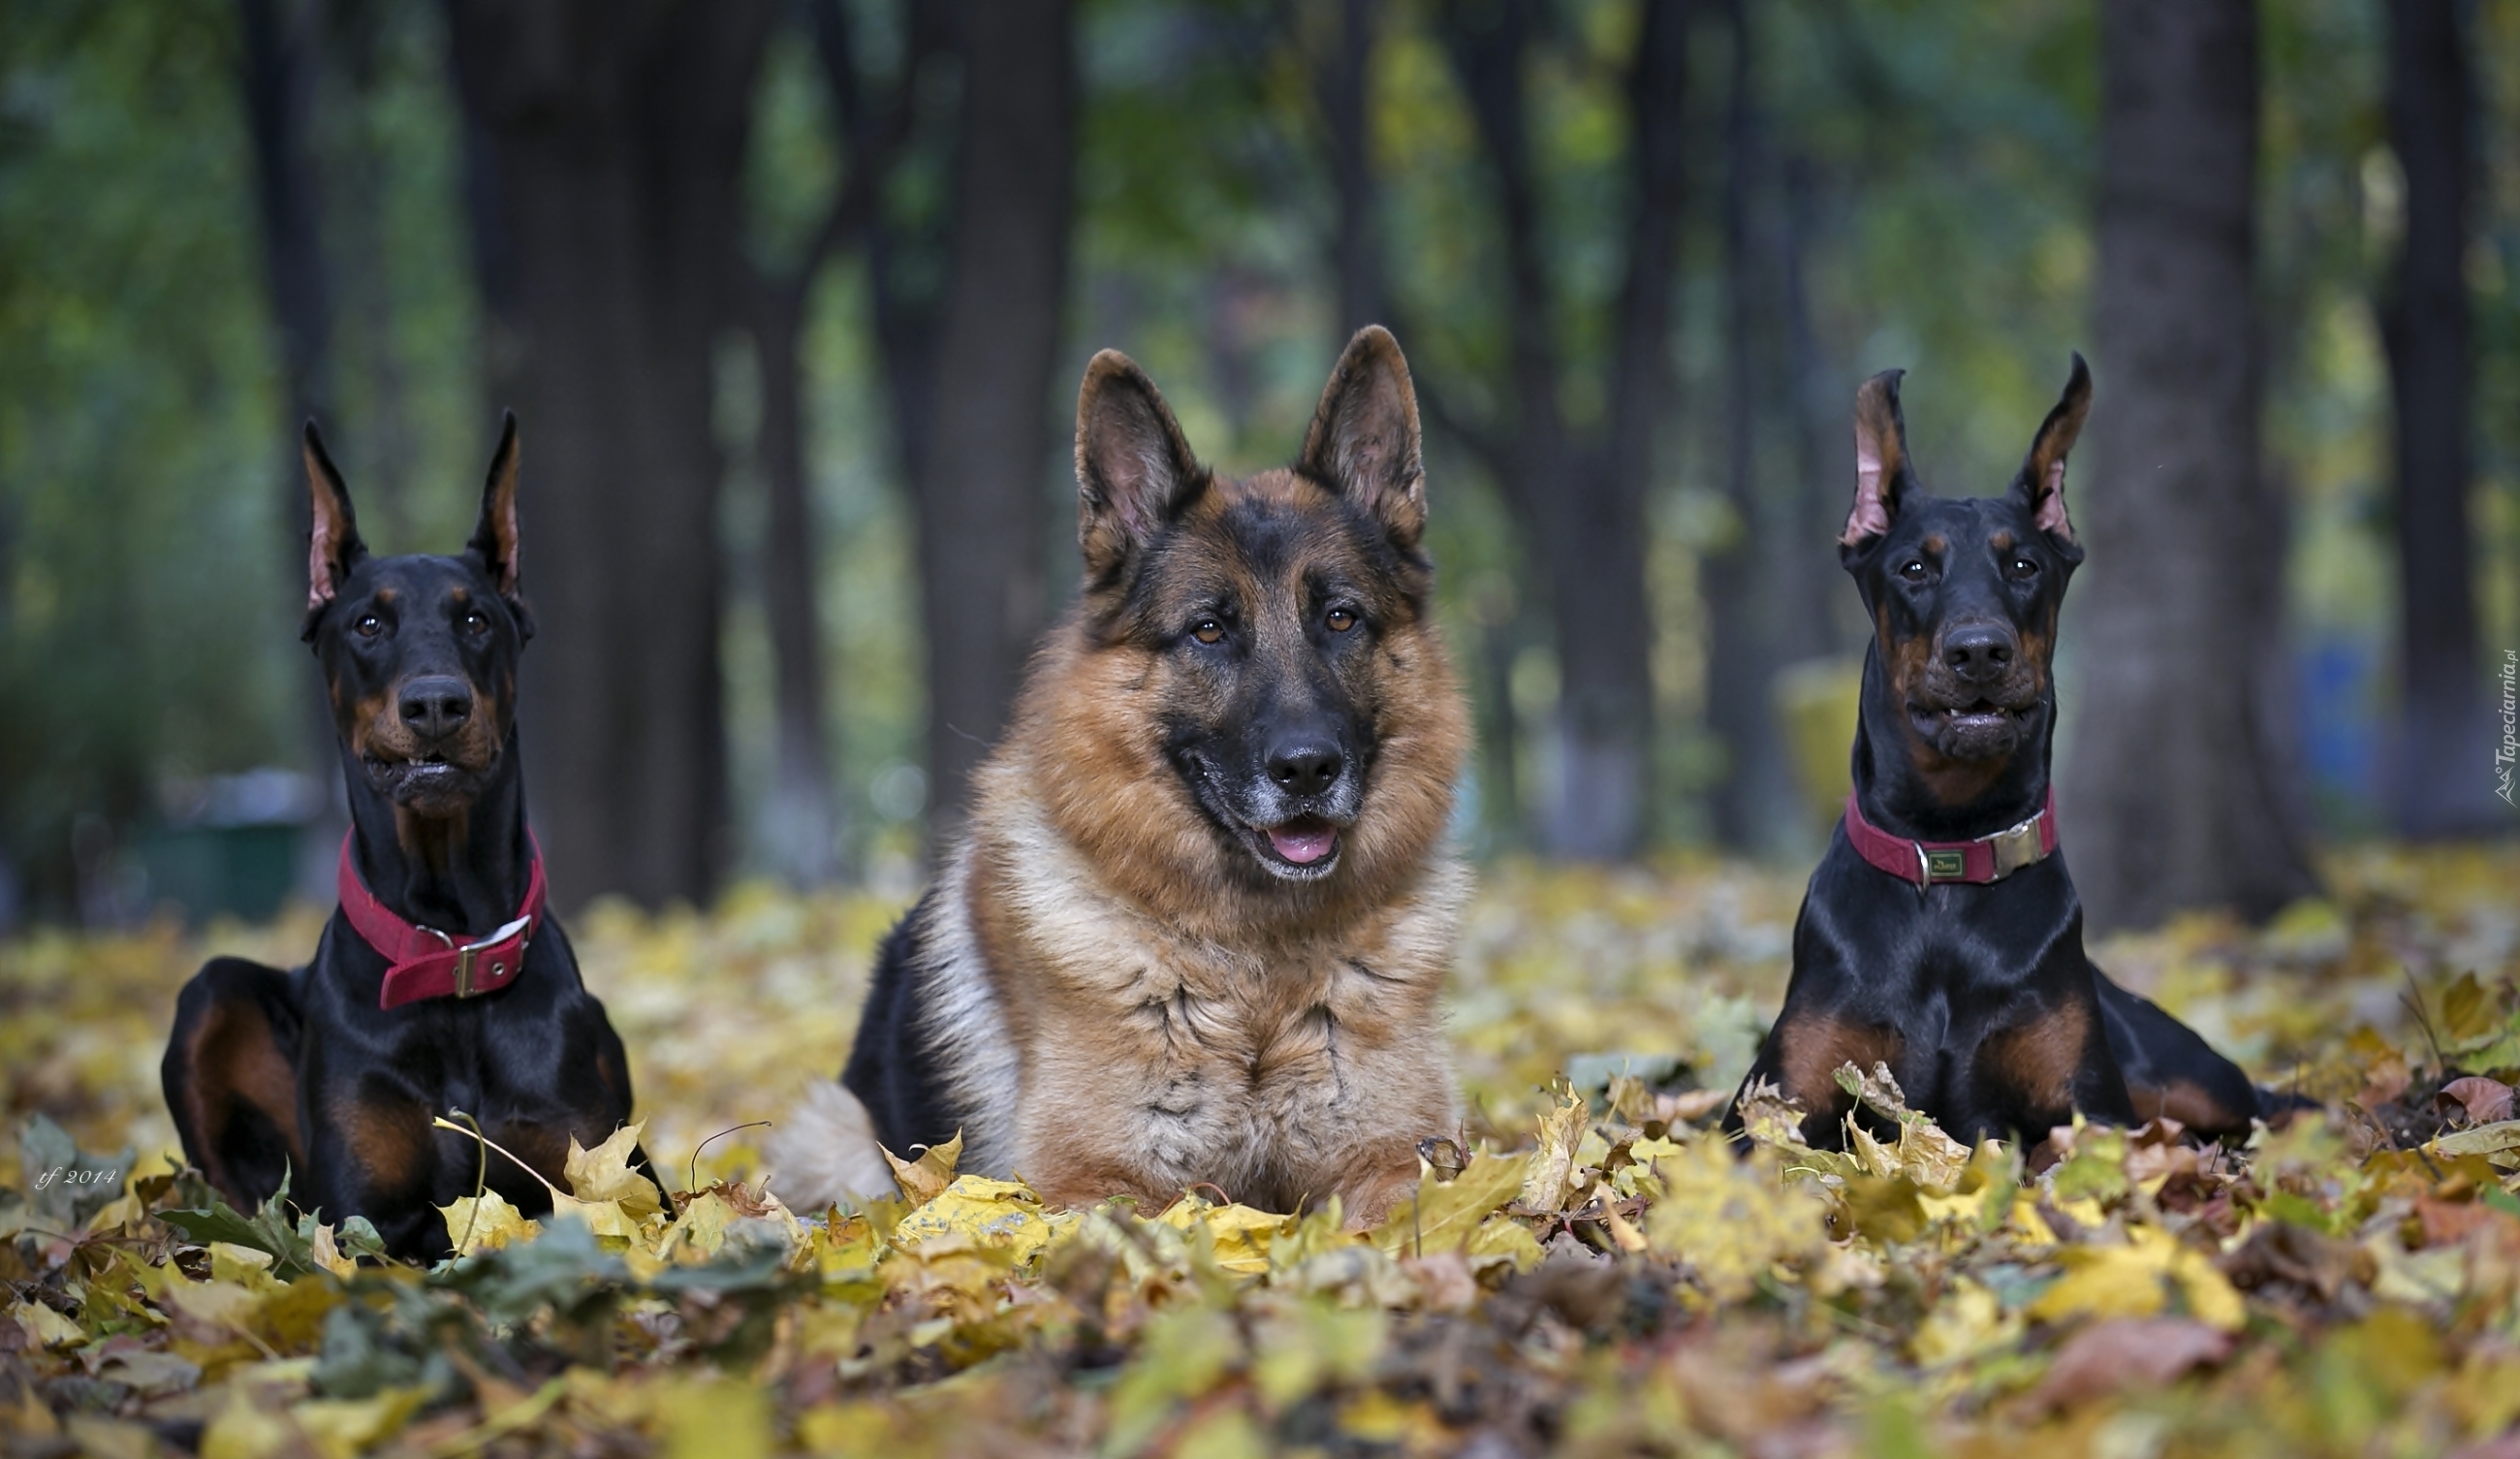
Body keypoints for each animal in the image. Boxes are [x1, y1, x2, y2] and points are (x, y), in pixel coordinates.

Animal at [162, 415, 640, 1259]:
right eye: (368, 623)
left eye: (476, 619)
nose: (437, 703)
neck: (447, 952)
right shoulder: (364, 1215)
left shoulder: (607, 1179)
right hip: (210, 992)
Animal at [1733, 358, 2287, 1154]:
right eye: (1913, 569)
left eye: (2024, 563)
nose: (1979, 651)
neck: (1950, 849)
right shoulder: (1770, 1108)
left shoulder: (2093, 1106)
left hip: (2190, 1075)